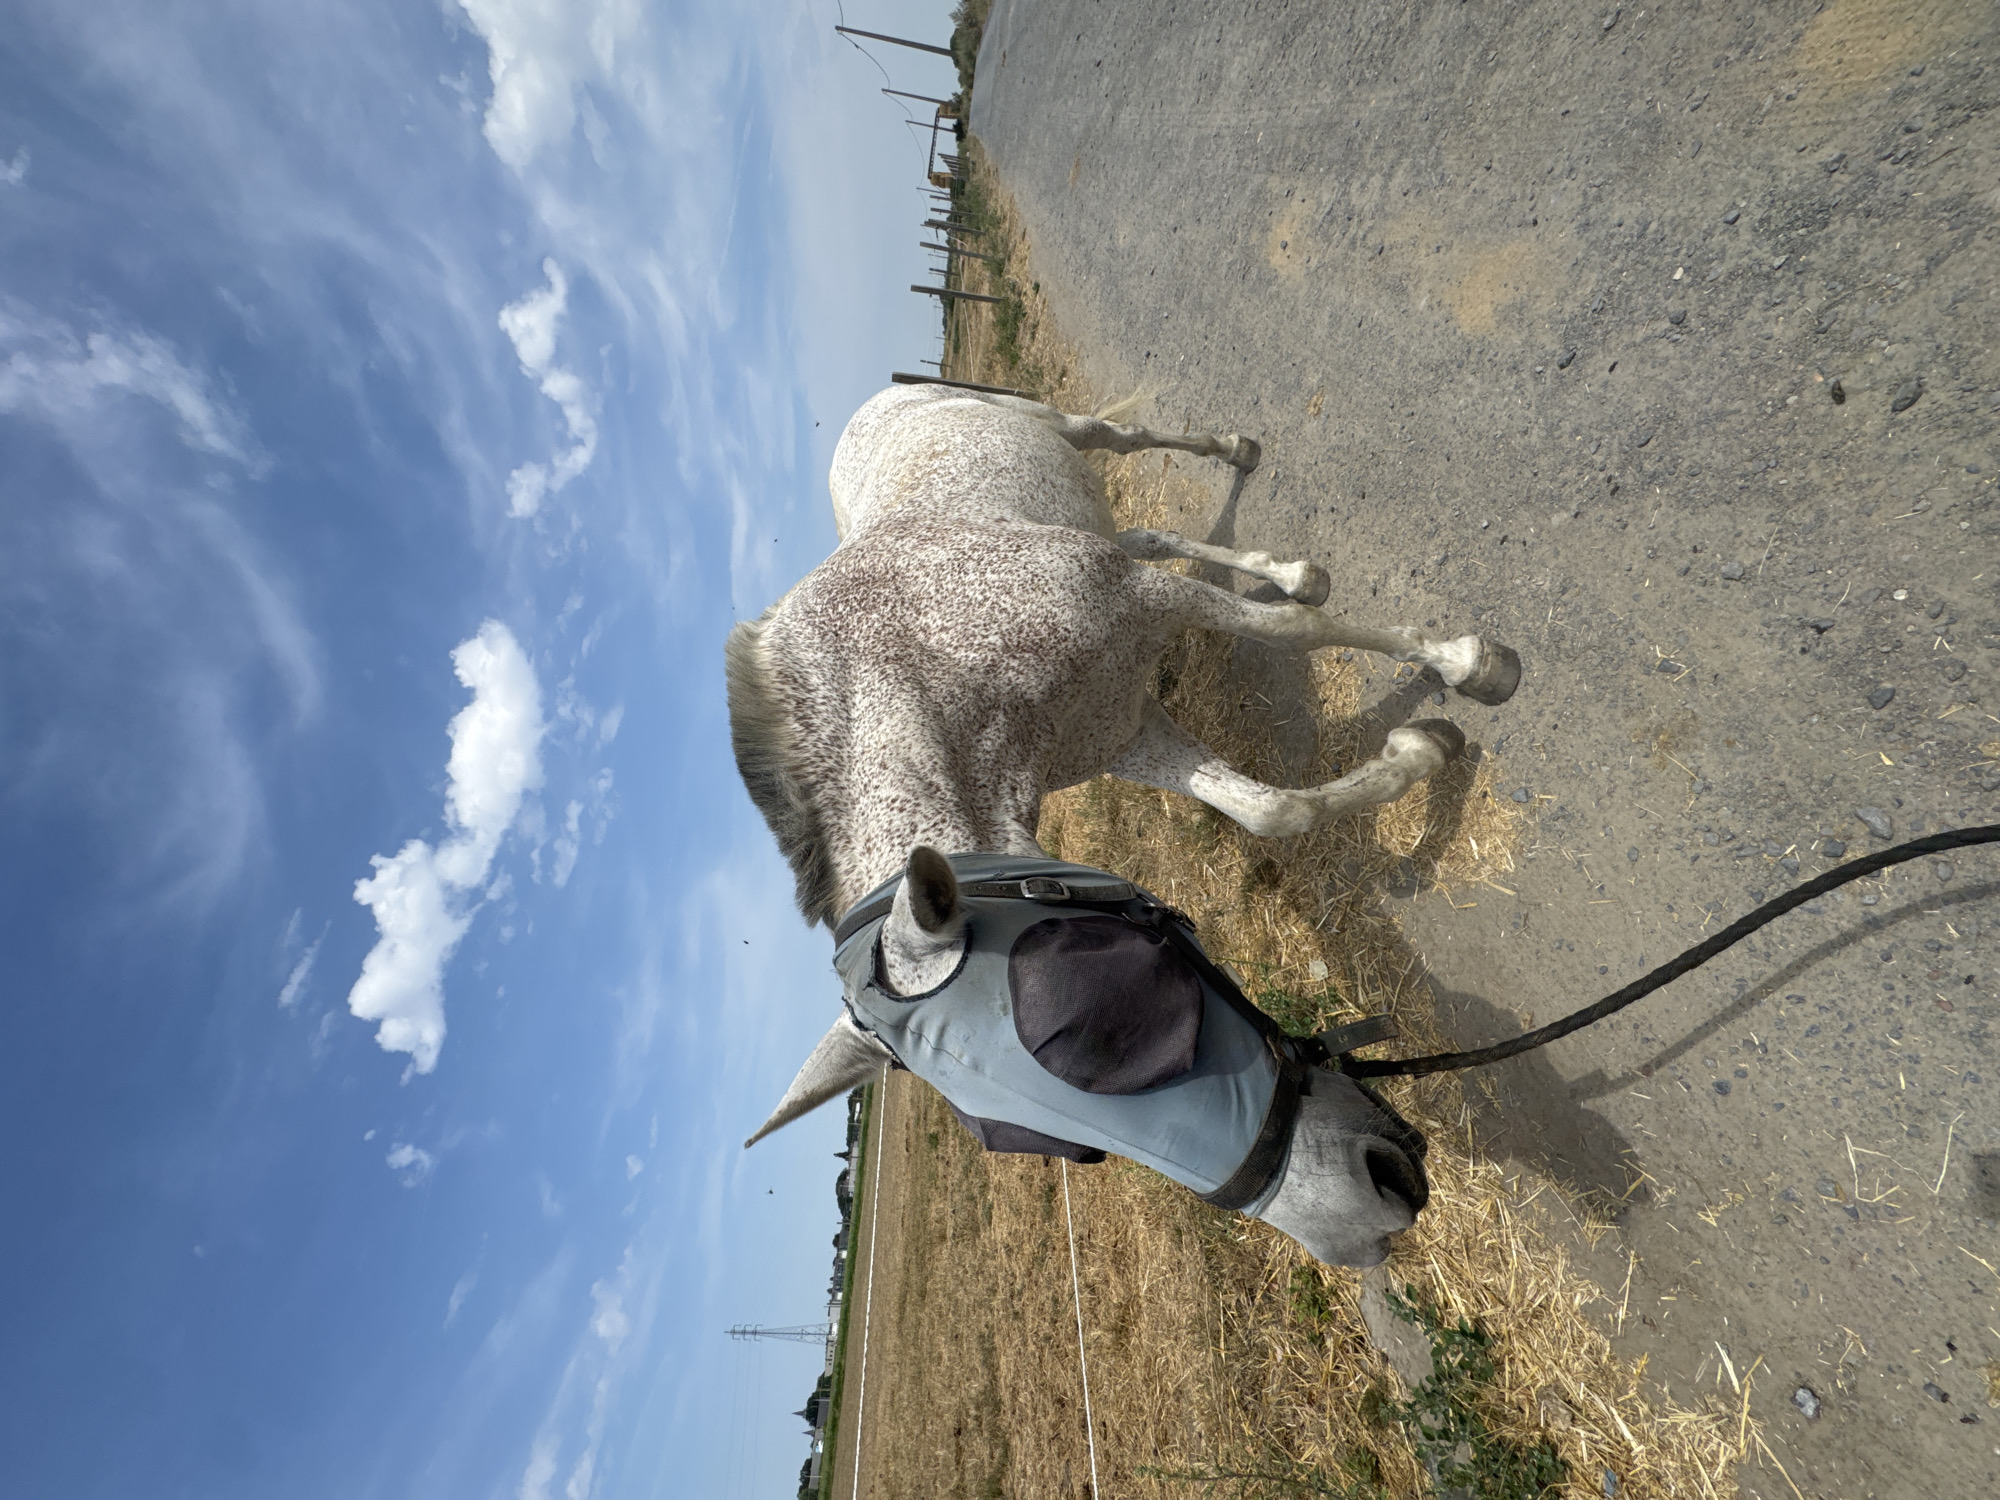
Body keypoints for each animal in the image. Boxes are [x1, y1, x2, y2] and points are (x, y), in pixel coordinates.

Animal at [730, 383, 1521, 1266]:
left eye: (1100, 1023)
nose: (1358, 1231)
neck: (924, 668)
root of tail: (879, 397)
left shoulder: (1144, 600)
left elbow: (1296, 635)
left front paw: (1468, 666)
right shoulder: (1129, 728)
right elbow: (1267, 808)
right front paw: (1422, 745)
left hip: (1059, 432)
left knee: (1124, 438)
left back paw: (1252, 484)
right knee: (1141, 532)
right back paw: (1294, 573)